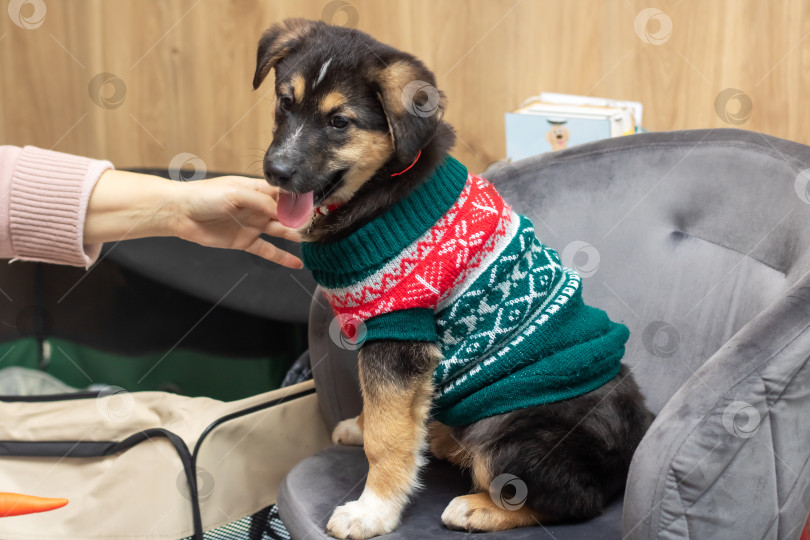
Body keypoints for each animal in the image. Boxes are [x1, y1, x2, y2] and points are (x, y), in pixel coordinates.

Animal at [252, 19, 652, 536]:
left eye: (340, 122)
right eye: (285, 101)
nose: (275, 171)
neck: (383, 188)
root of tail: (631, 452)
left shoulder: (401, 332)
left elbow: (386, 435)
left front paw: (372, 510)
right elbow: (381, 414)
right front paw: (360, 427)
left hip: (511, 432)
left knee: (572, 498)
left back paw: (476, 505)